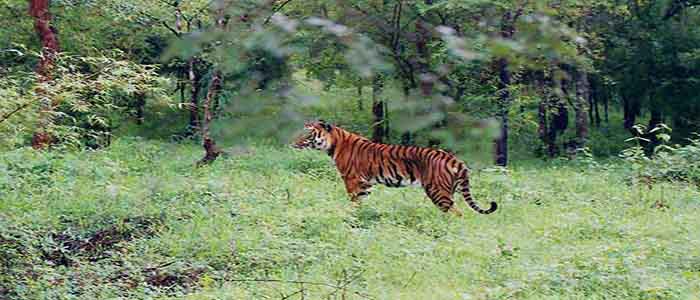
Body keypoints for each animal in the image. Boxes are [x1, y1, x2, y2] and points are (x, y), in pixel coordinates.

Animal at [292, 119, 498, 216]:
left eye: (308, 134)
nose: (293, 142)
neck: (334, 143)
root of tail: (454, 158)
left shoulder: (352, 179)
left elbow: (354, 202)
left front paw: (351, 215)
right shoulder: (366, 184)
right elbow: (362, 202)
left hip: (437, 191)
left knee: (456, 213)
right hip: (449, 190)